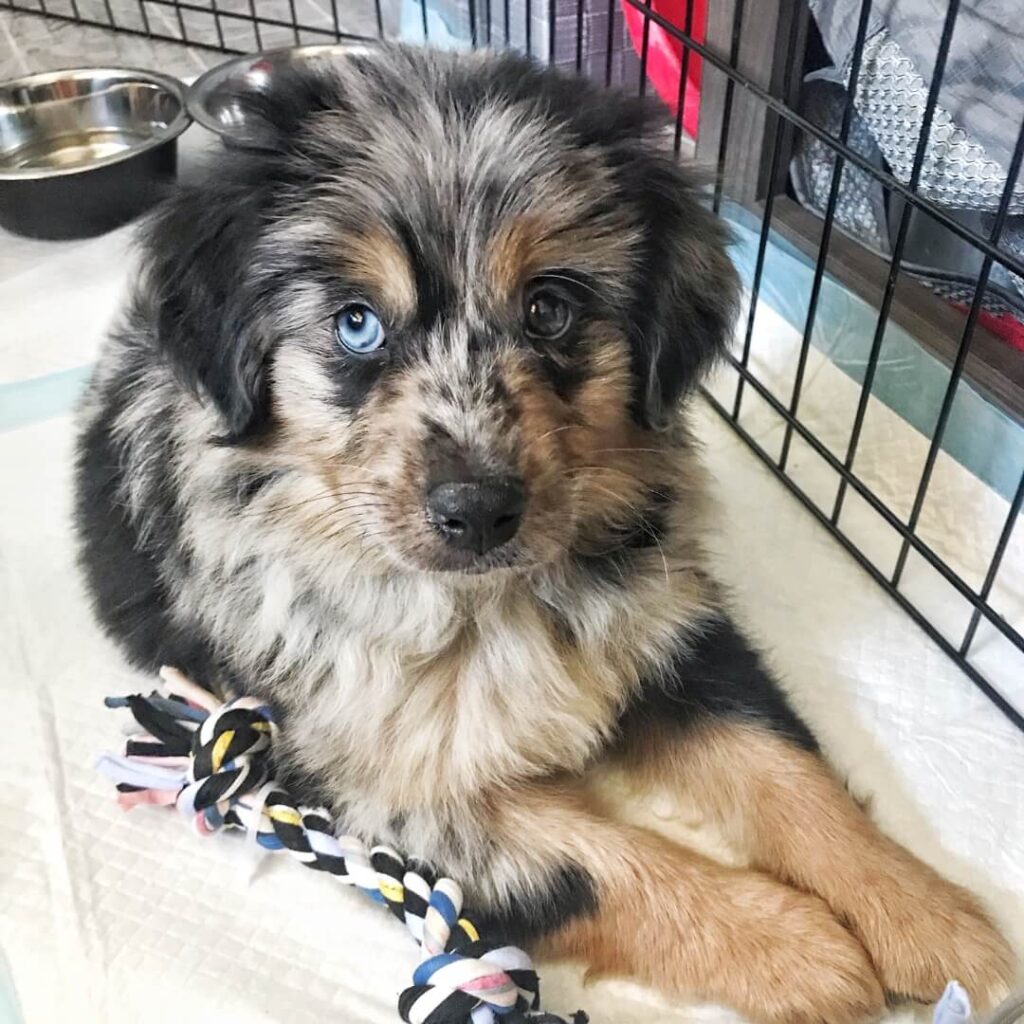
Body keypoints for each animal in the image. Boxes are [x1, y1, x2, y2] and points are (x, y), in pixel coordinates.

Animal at [74, 46, 1015, 1024]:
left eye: (550, 311)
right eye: (356, 323)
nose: (478, 510)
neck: (483, 603)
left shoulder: (668, 619)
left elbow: (784, 761)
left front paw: (927, 918)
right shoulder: (373, 786)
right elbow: (601, 865)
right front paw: (800, 950)